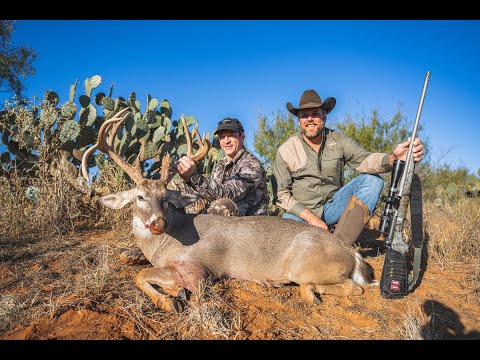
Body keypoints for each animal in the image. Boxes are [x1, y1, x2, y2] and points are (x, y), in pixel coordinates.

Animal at [81, 107, 376, 312]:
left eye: (166, 198)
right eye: (140, 196)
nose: (158, 223)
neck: (163, 242)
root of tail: (351, 253)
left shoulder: (197, 269)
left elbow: (143, 276)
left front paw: (171, 300)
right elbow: (141, 271)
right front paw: (171, 294)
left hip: (305, 266)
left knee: (352, 287)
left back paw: (311, 293)